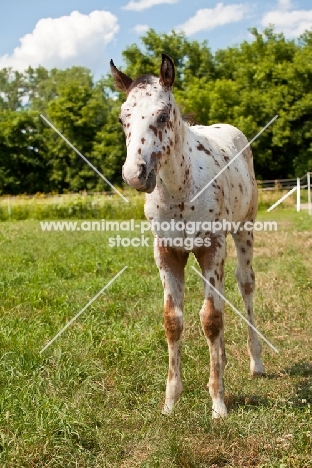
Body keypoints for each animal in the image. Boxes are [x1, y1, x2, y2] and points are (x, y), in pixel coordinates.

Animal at [111, 53, 264, 418]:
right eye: (123, 118)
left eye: (162, 115)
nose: (135, 174)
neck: (181, 191)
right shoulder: (167, 252)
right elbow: (173, 320)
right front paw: (170, 401)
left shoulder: (212, 248)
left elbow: (210, 318)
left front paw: (218, 404)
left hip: (243, 231)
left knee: (245, 284)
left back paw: (256, 362)